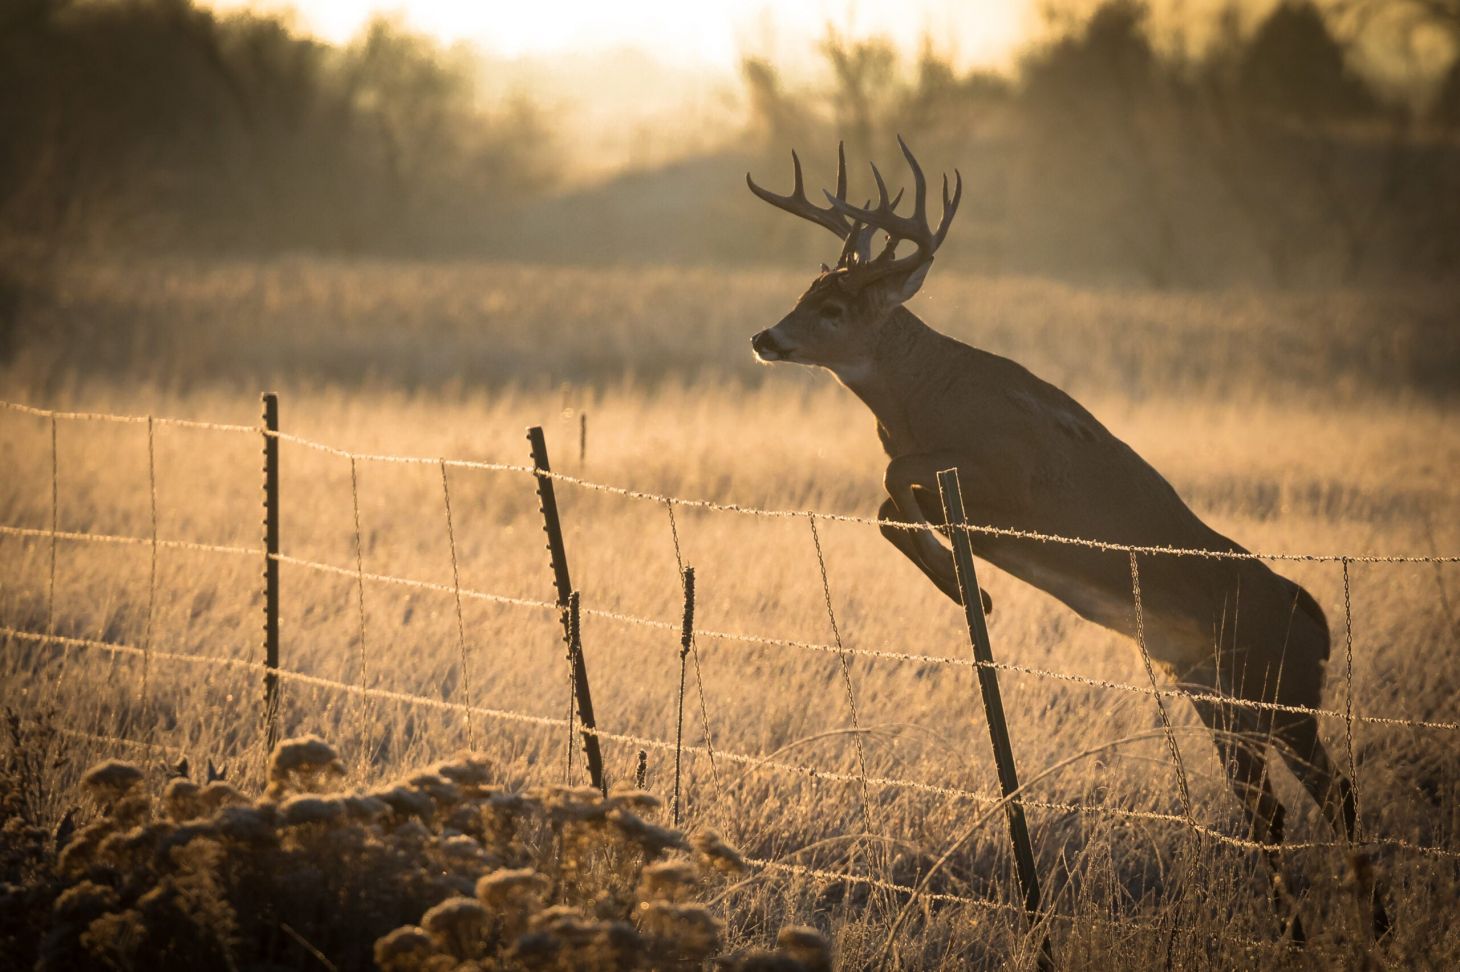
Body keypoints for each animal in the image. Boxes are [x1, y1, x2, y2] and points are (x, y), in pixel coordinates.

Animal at [747, 138, 1388, 942]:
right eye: (805, 293)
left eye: (832, 307)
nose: (765, 337)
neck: (925, 397)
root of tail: (1315, 620)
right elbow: (888, 501)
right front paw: (966, 587)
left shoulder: (1011, 474)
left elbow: (894, 480)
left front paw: (971, 590)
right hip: (1217, 697)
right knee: (1267, 809)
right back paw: (1297, 931)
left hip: (1283, 693)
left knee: (1335, 794)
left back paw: (1371, 927)